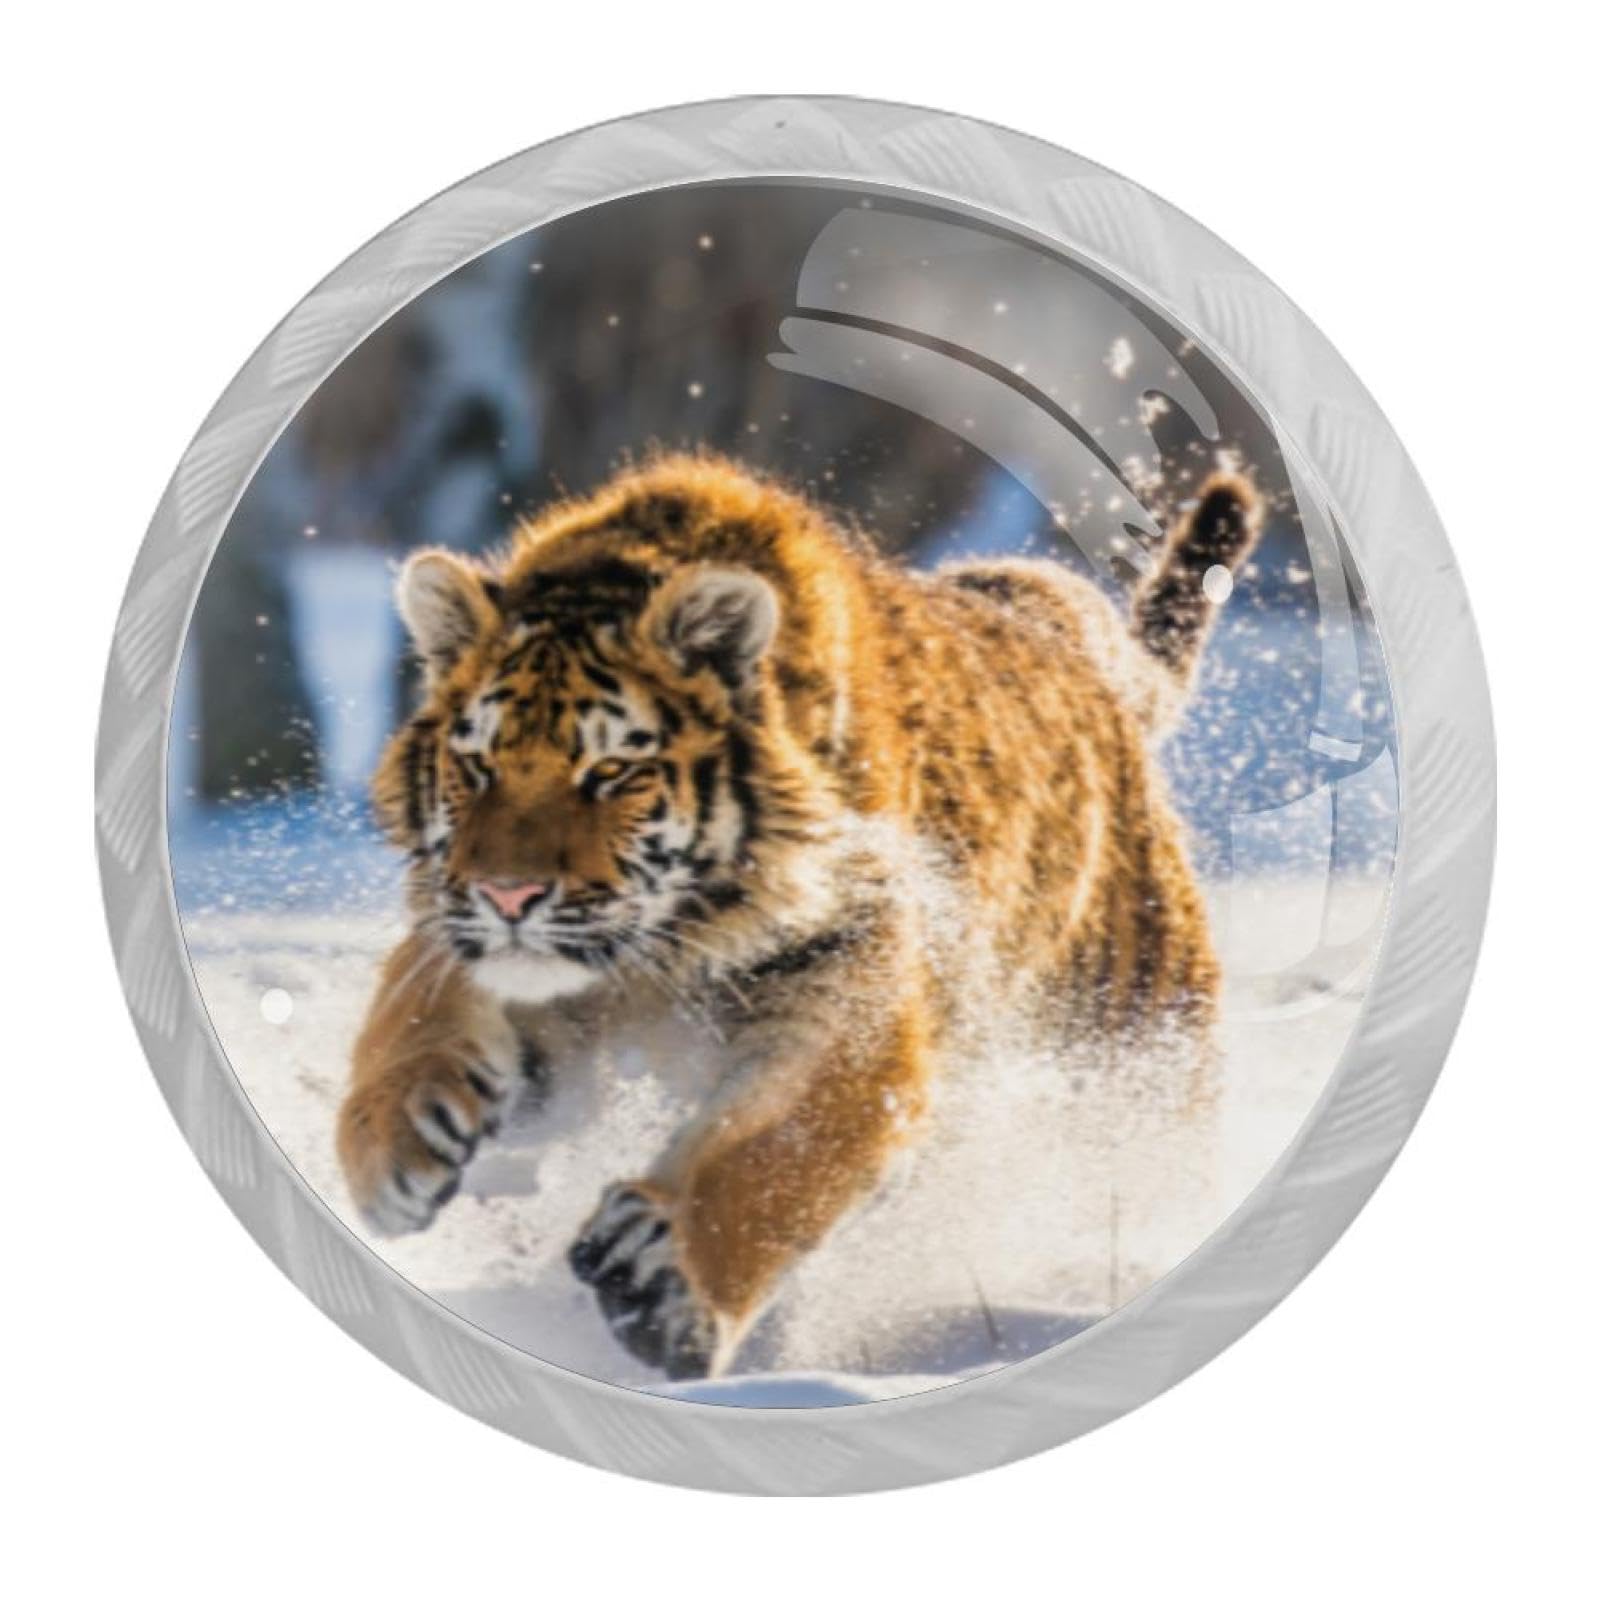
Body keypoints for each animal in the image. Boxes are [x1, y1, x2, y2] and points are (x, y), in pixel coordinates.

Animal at [335, 452, 1261, 1380]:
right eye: (475, 765)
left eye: (610, 771)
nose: (508, 895)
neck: (661, 949)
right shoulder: (492, 950)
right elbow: (411, 1007)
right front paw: (390, 1148)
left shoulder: (850, 996)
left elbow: (780, 1149)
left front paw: (659, 1281)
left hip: (1132, 1054)